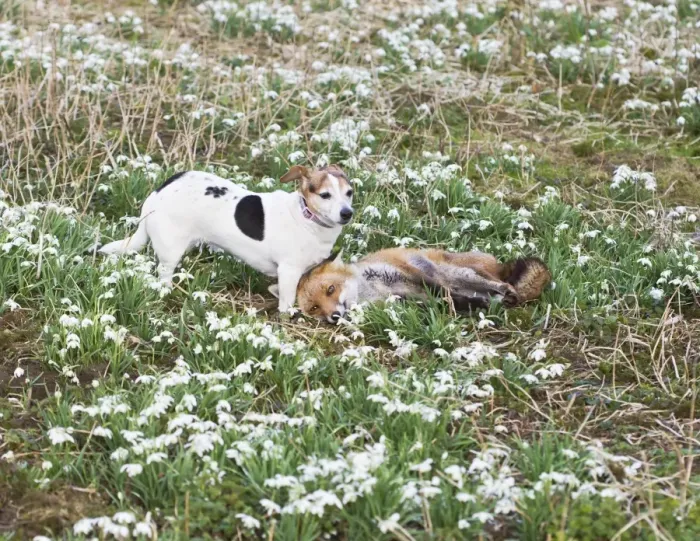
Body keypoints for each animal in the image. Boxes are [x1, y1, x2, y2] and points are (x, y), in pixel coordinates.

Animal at [293, 247, 551, 323]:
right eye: (315, 308)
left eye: (330, 289)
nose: (334, 316)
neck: (370, 288)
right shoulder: (405, 298)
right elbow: (445, 301)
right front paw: (470, 306)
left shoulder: (410, 275)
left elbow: (443, 292)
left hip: (461, 274)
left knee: (501, 284)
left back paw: (507, 292)